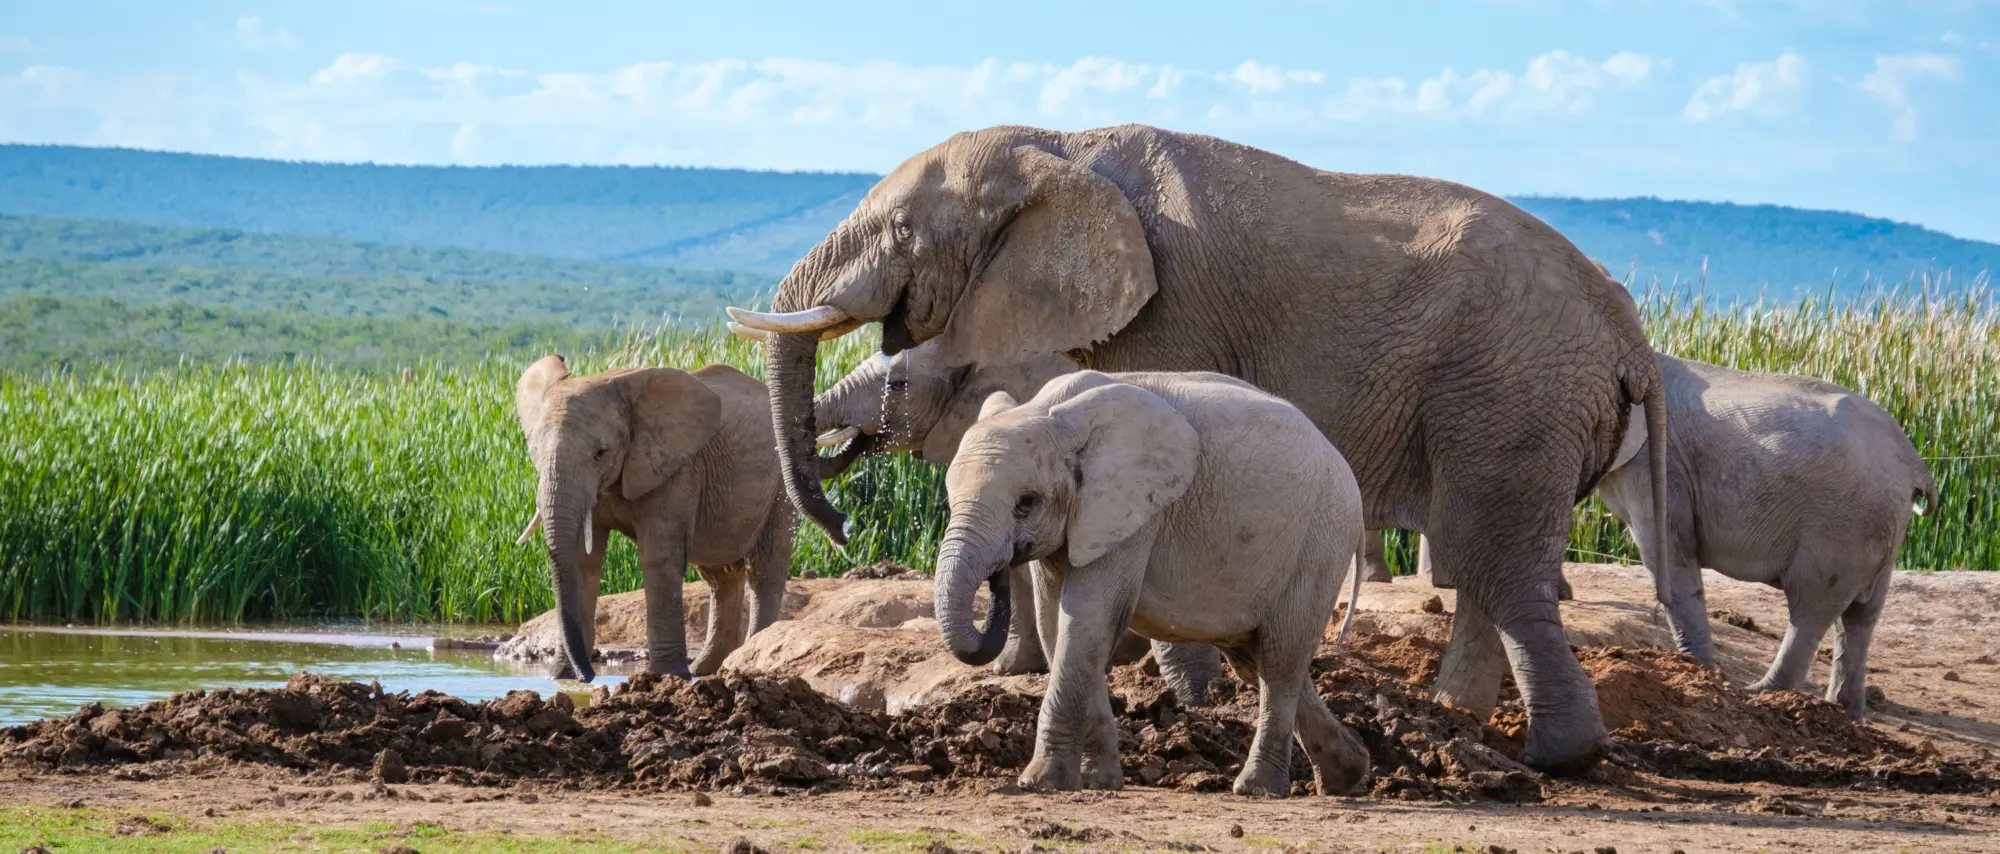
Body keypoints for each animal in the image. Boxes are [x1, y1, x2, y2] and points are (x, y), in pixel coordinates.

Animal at [512, 354, 792, 684]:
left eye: (600, 453)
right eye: (535, 451)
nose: (589, 676)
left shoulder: (675, 469)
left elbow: (658, 556)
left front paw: (665, 677)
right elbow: (584, 559)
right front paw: (561, 678)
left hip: (781, 483)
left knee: (764, 569)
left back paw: (748, 662)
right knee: (720, 577)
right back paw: (708, 669)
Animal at [936, 372, 1376, 800]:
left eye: (1026, 501)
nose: (998, 574)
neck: (1050, 412)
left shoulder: (1133, 515)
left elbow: (1088, 619)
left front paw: (1043, 784)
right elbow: (1058, 627)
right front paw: (1098, 782)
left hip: (1319, 543)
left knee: (1280, 659)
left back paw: (1259, 789)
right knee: (1258, 660)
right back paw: (1347, 777)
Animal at [1584, 354, 1928, 724]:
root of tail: (1914, 462)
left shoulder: (1657, 464)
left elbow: (1668, 555)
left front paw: (1696, 673)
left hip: (1843, 525)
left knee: (1811, 605)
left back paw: (1759, 694)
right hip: (1878, 528)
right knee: (1860, 616)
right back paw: (1843, 713)